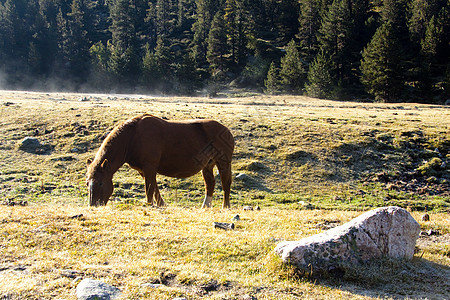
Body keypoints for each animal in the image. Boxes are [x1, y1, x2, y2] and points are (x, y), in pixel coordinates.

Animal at [87, 113, 236, 207]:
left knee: (225, 183)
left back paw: (225, 206)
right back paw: (205, 206)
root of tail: (227, 130)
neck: (132, 136)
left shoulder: (149, 167)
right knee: (210, 184)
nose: (94, 205)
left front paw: (150, 204)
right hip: (207, 165)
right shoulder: (144, 170)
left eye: (100, 183)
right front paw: (161, 204)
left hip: (223, 162)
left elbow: (149, 189)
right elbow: (154, 188)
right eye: (87, 183)